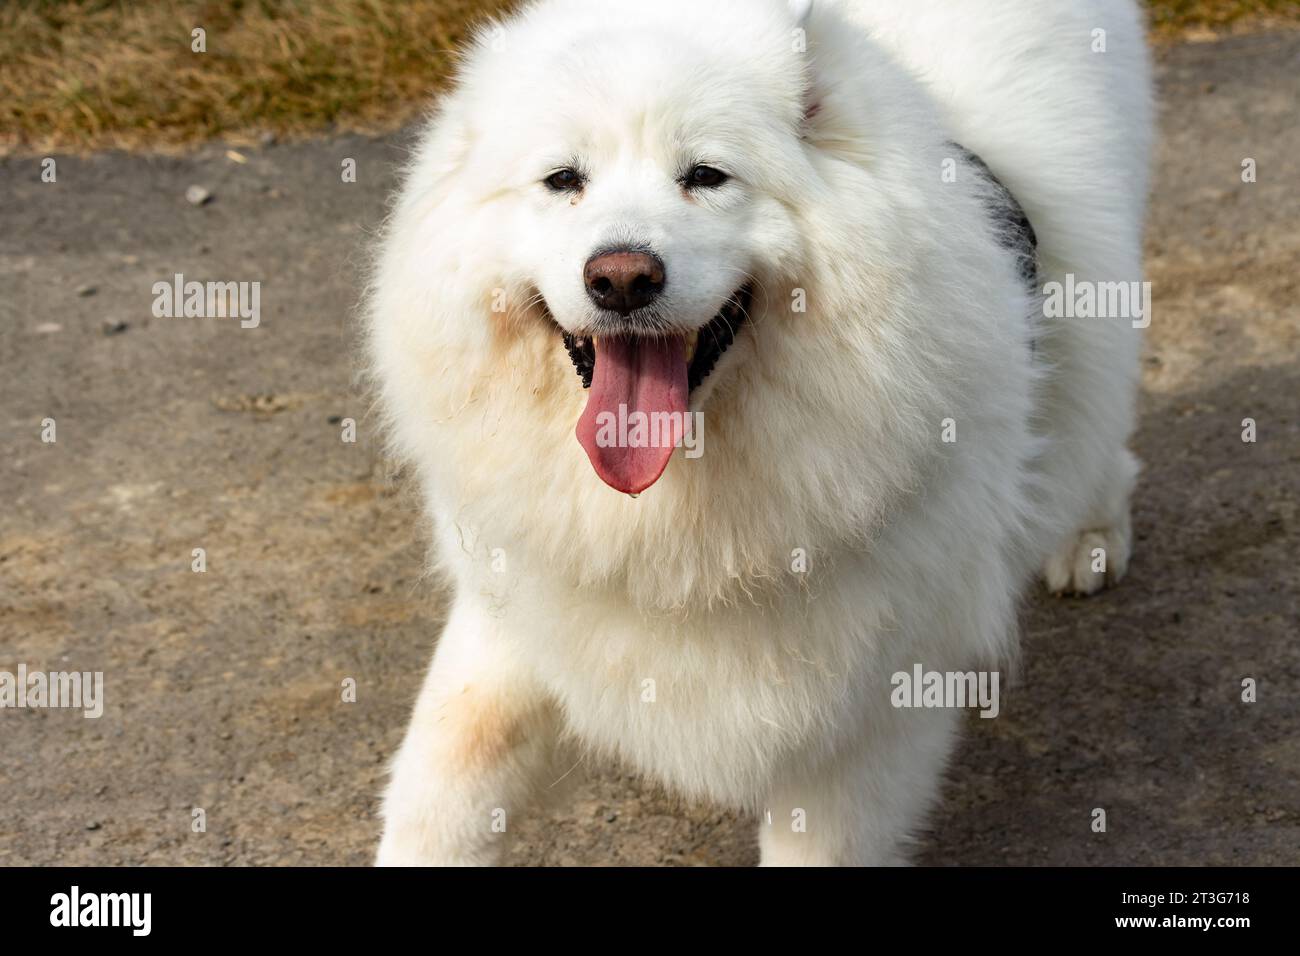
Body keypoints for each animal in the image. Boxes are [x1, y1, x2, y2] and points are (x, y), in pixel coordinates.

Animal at [366, 0, 1149, 868]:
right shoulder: (518, 627)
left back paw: (1090, 537)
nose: (622, 278)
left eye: (707, 176)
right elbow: (445, 786)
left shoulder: (865, 710)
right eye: (564, 181)